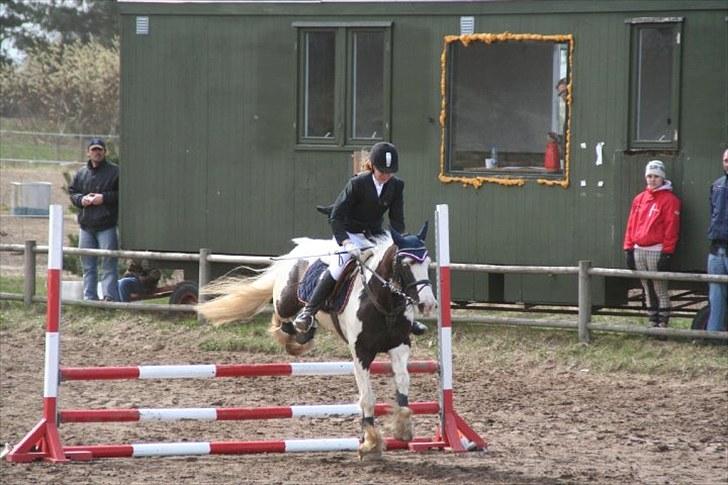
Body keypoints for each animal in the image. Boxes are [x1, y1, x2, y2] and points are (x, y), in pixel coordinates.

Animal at [196, 223, 438, 458]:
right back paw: (299, 330)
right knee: (281, 317)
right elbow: (367, 397)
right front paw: (371, 443)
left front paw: (403, 428)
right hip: (285, 301)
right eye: (405, 265)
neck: (383, 303)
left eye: (427, 262)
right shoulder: (361, 351)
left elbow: (403, 383)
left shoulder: (400, 346)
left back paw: (303, 333)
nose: (428, 304)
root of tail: (298, 250)